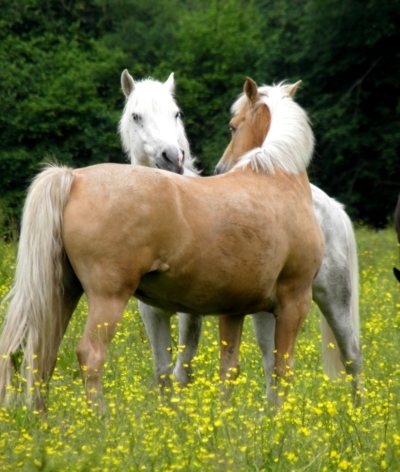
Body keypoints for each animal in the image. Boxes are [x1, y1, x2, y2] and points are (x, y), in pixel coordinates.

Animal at [0, 76, 324, 410]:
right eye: (233, 126)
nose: (221, 168)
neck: (276, 177)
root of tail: (74, 178)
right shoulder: (294, 301)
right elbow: (282, 368)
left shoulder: (234, 308)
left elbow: (230, 368)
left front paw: (226, 416)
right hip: (107, 298)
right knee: (89, 354)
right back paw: (100, 417)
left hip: (63, 292)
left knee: (42, 354)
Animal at [118, 70, 362, 400]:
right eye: (136, 115)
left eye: (176, 113)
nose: (171, 157)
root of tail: (331, 205)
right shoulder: (153, 313)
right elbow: (163, 374)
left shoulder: (191, 315)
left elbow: (183, 371)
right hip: (266, 310)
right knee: (272, 364)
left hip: (334, 298)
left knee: (352, 358)